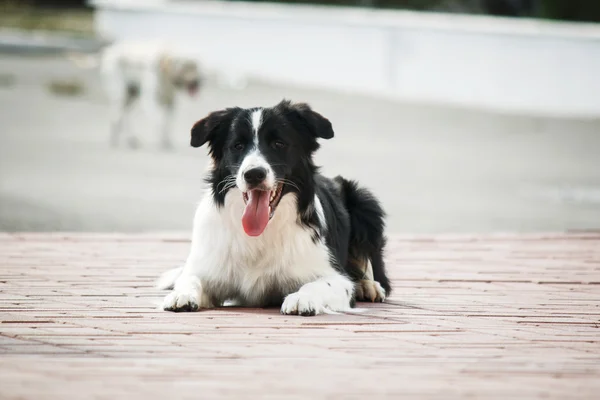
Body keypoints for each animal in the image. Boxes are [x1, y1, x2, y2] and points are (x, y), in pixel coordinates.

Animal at [157, 100, 392, 316]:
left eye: (278, 144)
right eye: (237, 146)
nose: (253, 174)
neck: (261, 233)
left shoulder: (336, 277)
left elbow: (318, 284)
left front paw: (301, 298)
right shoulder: (209, 268)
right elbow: (190, 278)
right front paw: (181, 294)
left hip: (365, 205)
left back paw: (368, 286)